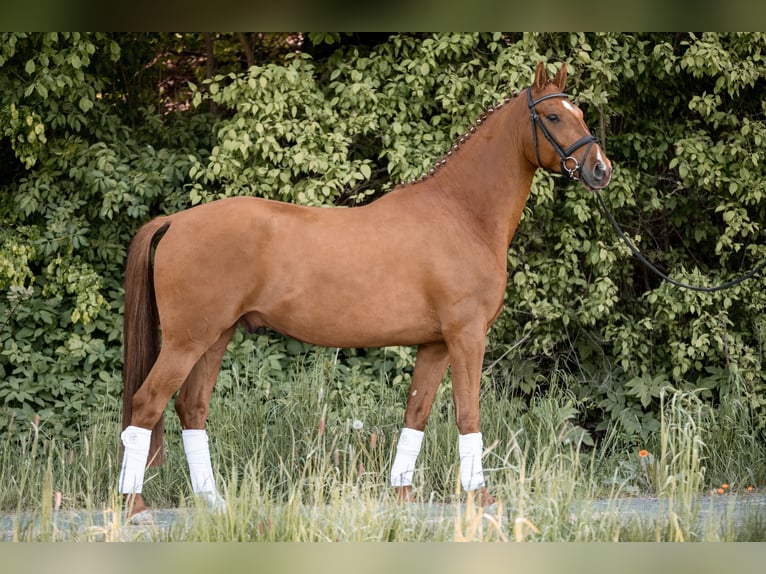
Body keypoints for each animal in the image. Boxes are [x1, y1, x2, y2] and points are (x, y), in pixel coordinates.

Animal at [118, 61, 612, 517]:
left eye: (580, 112)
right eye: (552, 116)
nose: (600, 169)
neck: (461, 214)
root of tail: (175, 221)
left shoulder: (436, 343)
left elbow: (417, 413)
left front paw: (403, 494)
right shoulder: (467, 336)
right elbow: (467, 413)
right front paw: (481, 497)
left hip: (215, 337)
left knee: (191, 408)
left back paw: (213, 501)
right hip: (186, 342)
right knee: (147, 403)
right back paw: (134, 503)